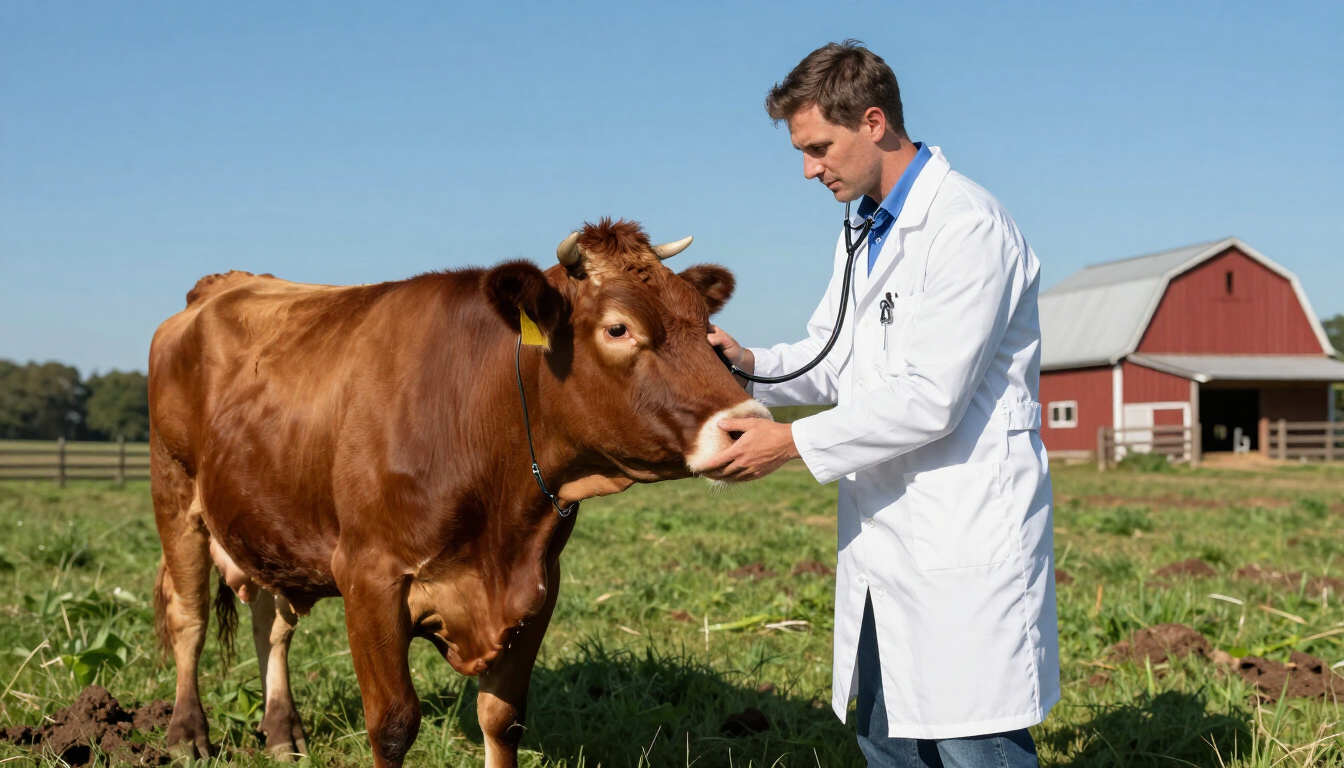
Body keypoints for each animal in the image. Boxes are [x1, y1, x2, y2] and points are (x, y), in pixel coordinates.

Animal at [147, 218, 769, 767]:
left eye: (706, 327)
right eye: (618, 328)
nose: (749, 424)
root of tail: (221, 285)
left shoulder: (539, 583)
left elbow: (502, 719)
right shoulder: (368, 576)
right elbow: (392, 724)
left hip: (268, 523)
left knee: (271, 623)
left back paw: (281, 733)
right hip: (174, 493)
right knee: (188, 618)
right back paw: (186, 735)